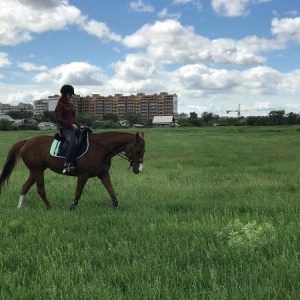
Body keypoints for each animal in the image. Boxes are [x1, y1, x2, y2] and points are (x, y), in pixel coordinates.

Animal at [0, 131, 145, 211]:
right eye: (138, 151)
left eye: (143, 151)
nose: (139, 170)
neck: (101, 149)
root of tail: (26, 142)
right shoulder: (83, 175)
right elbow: (78, 193)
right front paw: (72, 208)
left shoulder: (103, 174)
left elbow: (111, 191)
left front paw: (117, 207)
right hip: (37, 170)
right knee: (40, 190)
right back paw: (50, 208)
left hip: (35, 171)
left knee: (25, 186)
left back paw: (19, 207)